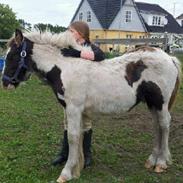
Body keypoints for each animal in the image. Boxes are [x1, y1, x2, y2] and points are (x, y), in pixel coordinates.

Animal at [1, 29, 182, 182]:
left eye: (12, 56)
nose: (5, 83)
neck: (65, 67)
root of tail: (169, 58)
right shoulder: (74, 110)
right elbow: (78, 135)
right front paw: (77, 168)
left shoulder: (73, 108)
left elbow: (73, 137)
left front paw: (66, 173)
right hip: (152, 104)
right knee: (156, 126)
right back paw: (152, 160)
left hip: (161, 103)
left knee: (164, 125)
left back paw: (161, 163)